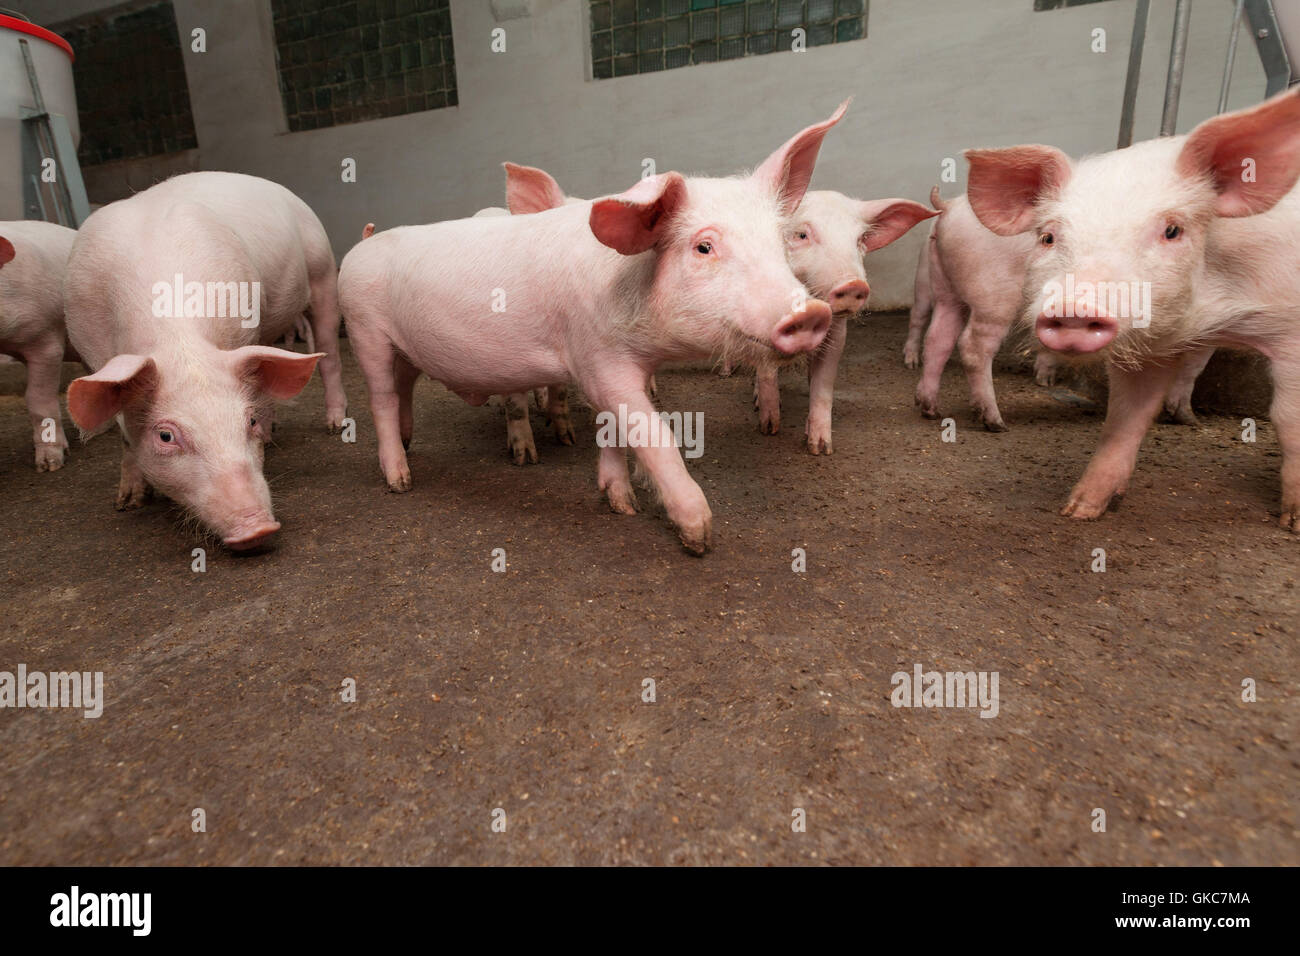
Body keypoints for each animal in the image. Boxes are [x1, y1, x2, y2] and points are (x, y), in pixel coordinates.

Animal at [62, 167, 345, 548]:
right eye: (166, 437)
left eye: (247, 422)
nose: (258, 528)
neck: (177, 341)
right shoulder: (93, 353)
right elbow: (124, 435)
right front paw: (127, 503)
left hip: (322, 270)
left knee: (328, 352)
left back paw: (333, 424)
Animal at [335, 104, 847, 554]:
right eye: (703, 247)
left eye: (781, 241)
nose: (811, 312)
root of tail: (361, 248)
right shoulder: (597, 357)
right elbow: (652, 433)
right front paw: (699, 537)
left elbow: (616, 428)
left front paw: (621, 503)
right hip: (364, 328)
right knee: (381, 398)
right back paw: (400, 480)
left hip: (405, 347)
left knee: (404, 385)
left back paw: (408, 444)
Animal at [909, 188, 1211, 431]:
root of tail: (948, 206)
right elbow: (1194, 364)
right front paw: (1188, 418)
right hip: (993, 295)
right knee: (972, 346)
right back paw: (995, 422)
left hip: (946, 288)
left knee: (938, 339)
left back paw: (930, 409)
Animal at [961, 89, 1300, 530]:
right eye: (1048, 236)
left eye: (1172, 230)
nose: (1074, 308)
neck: (1208, 321)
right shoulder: (1147, 351)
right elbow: (1125, 418)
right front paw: (1079, 510)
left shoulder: (1290, 328)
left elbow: (1288, 418)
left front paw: (1292, 524)